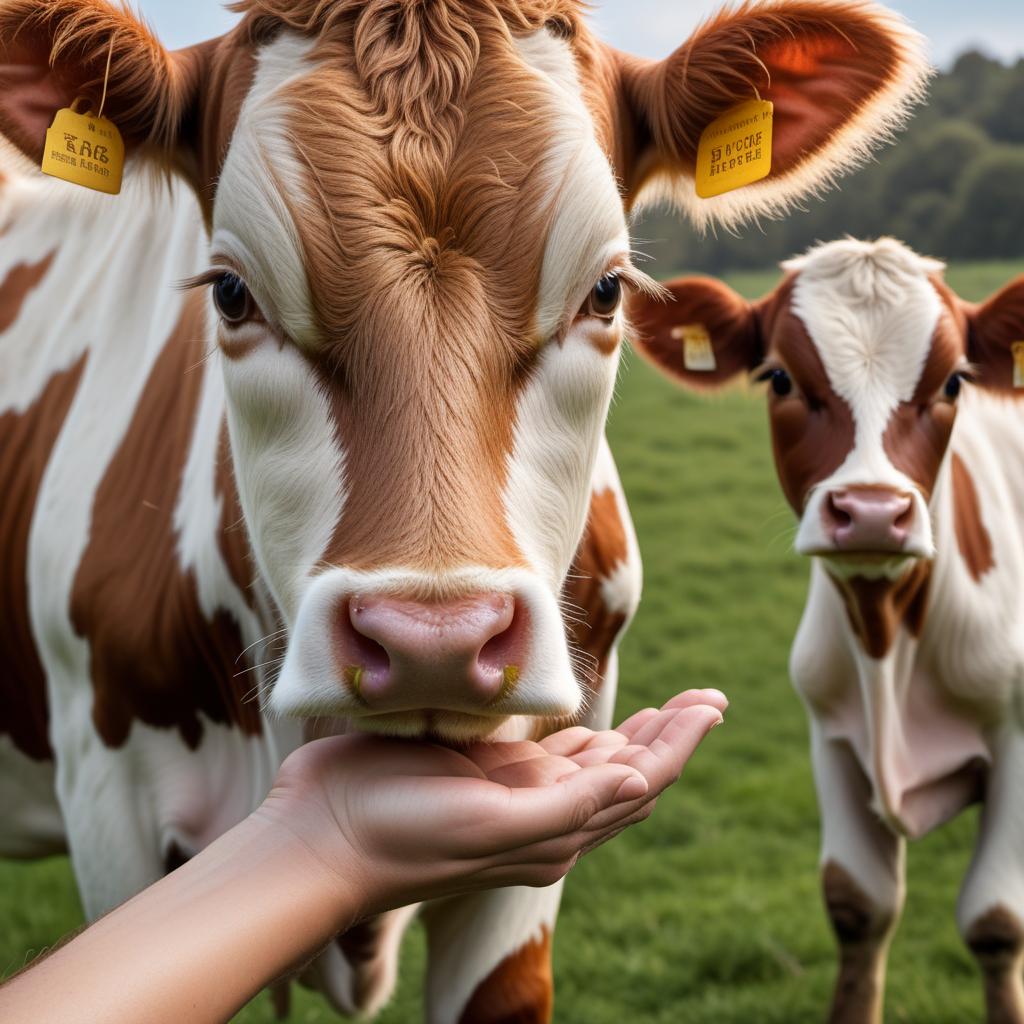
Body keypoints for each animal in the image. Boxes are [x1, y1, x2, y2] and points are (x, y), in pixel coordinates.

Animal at [626, 235, 1024, 1019]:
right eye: (779, 377)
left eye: (954, 382)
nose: (871, 512)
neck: (885, 640)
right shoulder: (831, 738)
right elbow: (857, 906)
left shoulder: (1019, 743)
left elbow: (995, 922)